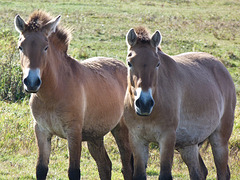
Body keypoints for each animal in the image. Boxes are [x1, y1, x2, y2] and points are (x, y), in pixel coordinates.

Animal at [13, 10, 132, 179]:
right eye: (20, 47)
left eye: (46, 47)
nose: (31, 82)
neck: (53, 93)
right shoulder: (42, 131)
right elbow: (41, 169)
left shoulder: (74, 133)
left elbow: (74, 171)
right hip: (95, 136)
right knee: (105, 165)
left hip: (121, 131)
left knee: (126, 167)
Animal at [124, 26, 236, 180]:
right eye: (130, 62)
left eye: (157, 64)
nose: (144, 104)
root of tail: (222, 68)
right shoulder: (137, 139)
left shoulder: (167, 138)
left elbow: (165, 174)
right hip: (189, 146)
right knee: (199, 172)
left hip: (220, 141)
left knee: (222, 172)